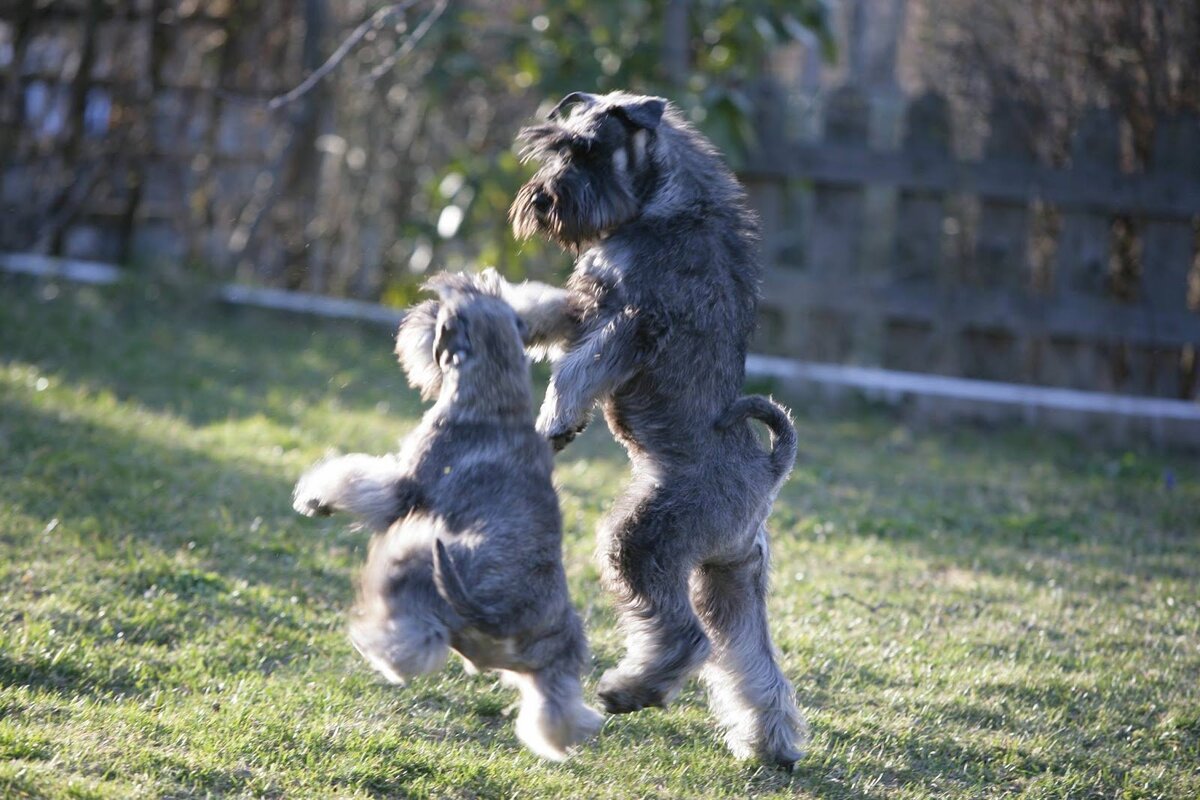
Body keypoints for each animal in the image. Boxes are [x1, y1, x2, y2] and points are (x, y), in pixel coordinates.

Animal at [289, 272, 604, 762]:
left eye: (443, 314)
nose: (418, 316)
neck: (495, 401)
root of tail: (504, 615)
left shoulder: (401, 489)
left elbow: (356, 478)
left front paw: (315, 498)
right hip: (559, 656)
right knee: (556, 709)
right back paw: (583, 727)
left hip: (420, 562)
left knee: (414, 645)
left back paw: (374, 645)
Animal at [470, 90, 806, 772]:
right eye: (554, 146)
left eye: (587, 151)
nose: (541, 201)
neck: (668, 208)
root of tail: (767, 475)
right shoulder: (588, 304)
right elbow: (545, 310)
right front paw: (502, 313)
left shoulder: (631, 322)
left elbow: (578, 367)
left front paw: (555, 418)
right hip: (731, 577)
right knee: (753, 662)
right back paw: (773, 747)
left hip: (642, 540)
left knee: (689, 639)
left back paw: (631, 689)